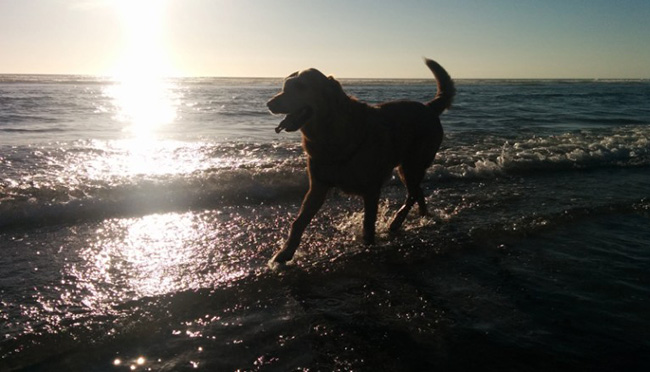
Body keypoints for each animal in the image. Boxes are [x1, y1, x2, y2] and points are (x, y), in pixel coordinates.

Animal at [266, 58, 454, 264]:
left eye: (301, 86)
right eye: (285, 86)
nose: (270, 103)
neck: (328, 134)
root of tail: (428, 107)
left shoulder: (371, 188)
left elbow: (368, 223)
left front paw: (368, 246)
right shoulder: (318, 186)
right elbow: (299, 222)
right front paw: (285, 253)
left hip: (412, 164)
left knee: (413, 193)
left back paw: (397, 221)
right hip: (408, 168)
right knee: (418, 192)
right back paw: (422, 216)